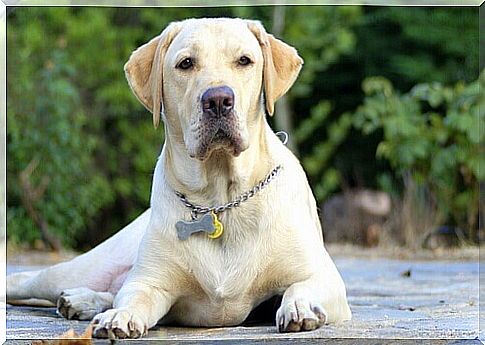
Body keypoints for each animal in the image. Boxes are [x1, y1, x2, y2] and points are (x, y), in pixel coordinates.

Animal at [5, 17, 350, 338]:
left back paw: (82, 301)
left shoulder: (323, 277)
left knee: (109, 291)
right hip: (85, 267)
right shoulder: (149, 280)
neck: (219, 199)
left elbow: (300, 286)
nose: (218, 99)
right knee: (31, 279)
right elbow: (134, 297)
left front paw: (299, 306)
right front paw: (121, 316)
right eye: (186, 63)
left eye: (244, 60)